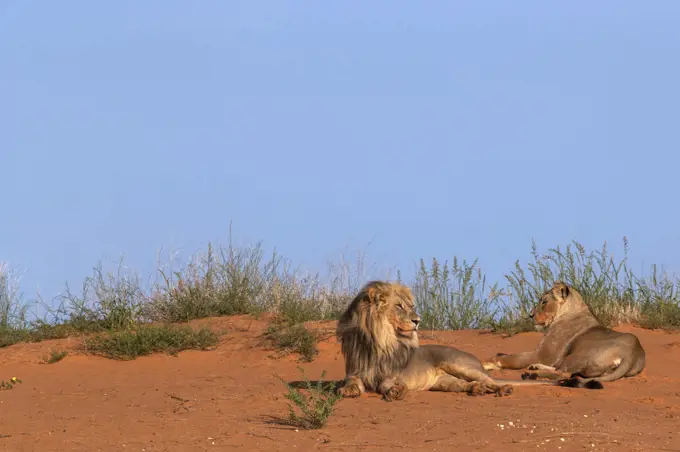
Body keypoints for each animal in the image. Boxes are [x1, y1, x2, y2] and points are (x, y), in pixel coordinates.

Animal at [334, 280, 552, 400]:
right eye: (399, 306)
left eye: (410, 306)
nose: (417, 320)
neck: (378, 340)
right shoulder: (355, 371)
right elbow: (350, 382)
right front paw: (347, 390)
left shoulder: (392, 374)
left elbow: (385, 385)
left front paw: (395, 391)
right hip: (444, 382)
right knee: (466, 384)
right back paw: (477, 389)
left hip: (461, 365)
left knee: (490, 380)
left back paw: (503, 389)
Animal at [480, 278, 644, 388]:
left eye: (544, 302)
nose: (530, 315)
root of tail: (632, 353)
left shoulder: (544, 354)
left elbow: (512, 358)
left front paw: (489, 362)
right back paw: (534, 368)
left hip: (577, 355)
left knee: (564, 373)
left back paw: (531, 374)